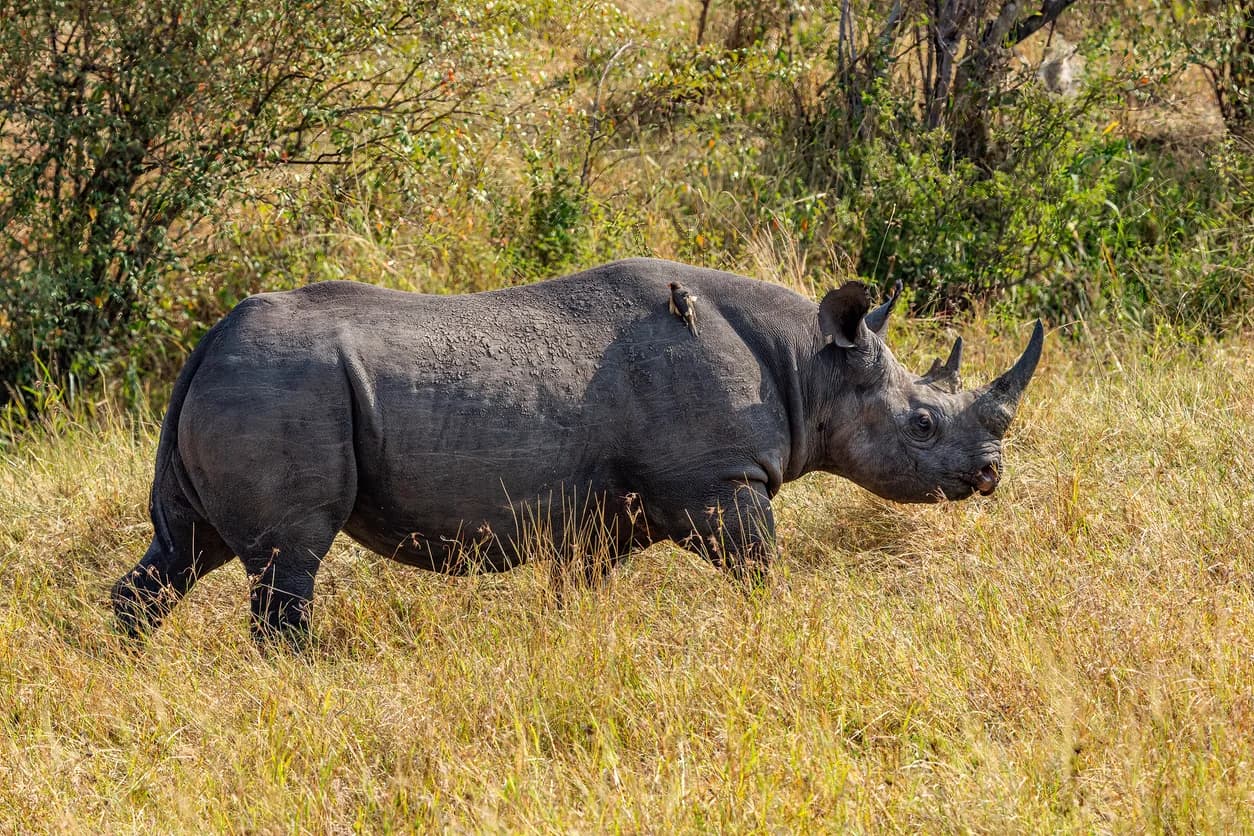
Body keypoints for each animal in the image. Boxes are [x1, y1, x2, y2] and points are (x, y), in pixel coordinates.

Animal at [112, 258, 1043, 641]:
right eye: (921, 425)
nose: (990, 475)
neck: (811, 362)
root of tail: (207, 341)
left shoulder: (602, 514)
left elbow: (580, 591)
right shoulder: (717, 483)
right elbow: (760, 570)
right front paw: (774, 630)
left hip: (245, 384)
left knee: (182, 550)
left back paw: (130, 661)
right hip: (282, 388)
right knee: (286, 563)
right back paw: (300, 677)